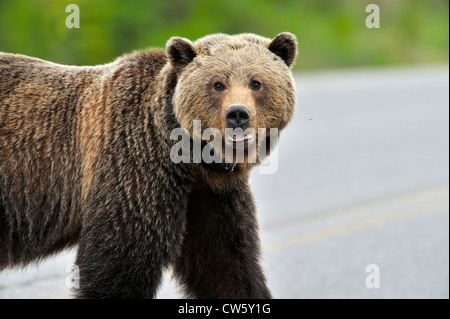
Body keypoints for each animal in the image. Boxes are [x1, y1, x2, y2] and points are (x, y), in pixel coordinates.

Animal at [0, 31, 298, 298]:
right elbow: (122, 260)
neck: (193, 159)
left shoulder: (211, 194)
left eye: (256, 83)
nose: (238, 114)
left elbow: (224, 263)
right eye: (218, 84)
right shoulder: (136, 166)